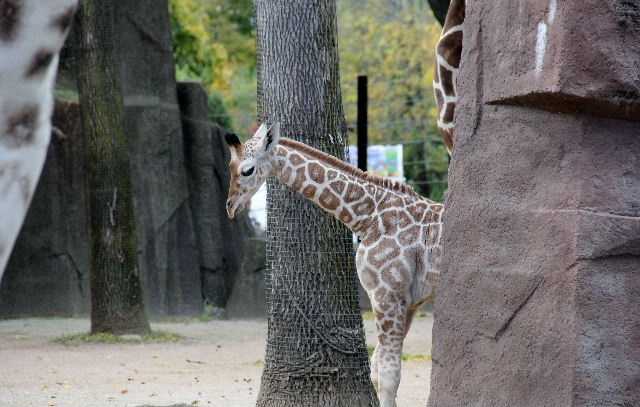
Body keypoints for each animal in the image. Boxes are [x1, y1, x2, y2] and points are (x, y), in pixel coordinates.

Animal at [224, 122, 440, 406]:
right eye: (229, 166)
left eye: (247, 170)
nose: (230, 206)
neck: (367, 217)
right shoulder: (409, 301)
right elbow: (377, 369)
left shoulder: (388, 295)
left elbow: (389, 375)